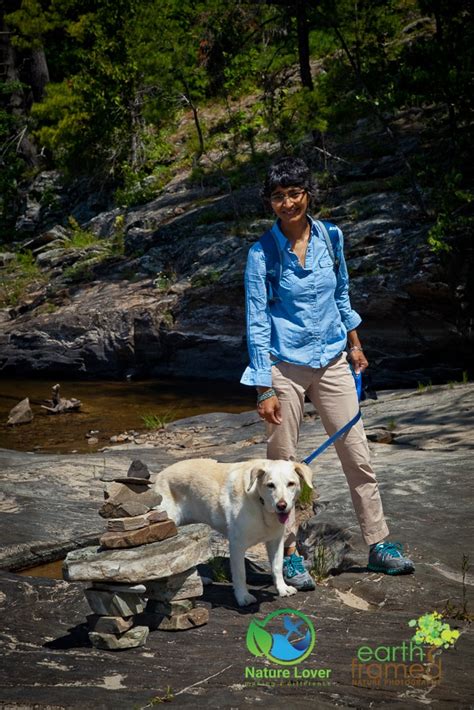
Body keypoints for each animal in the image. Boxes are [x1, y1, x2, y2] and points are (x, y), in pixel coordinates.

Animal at [153, 462, 314, 608]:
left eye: (291, 484)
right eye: (270, 485)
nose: (282, 506)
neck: (259, 503)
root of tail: (159, 476)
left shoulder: (276, 541)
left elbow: (277, 566)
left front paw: (282, 588)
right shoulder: (237, 546)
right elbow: (241, 573)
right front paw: (243, 597)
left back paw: (200, 580)